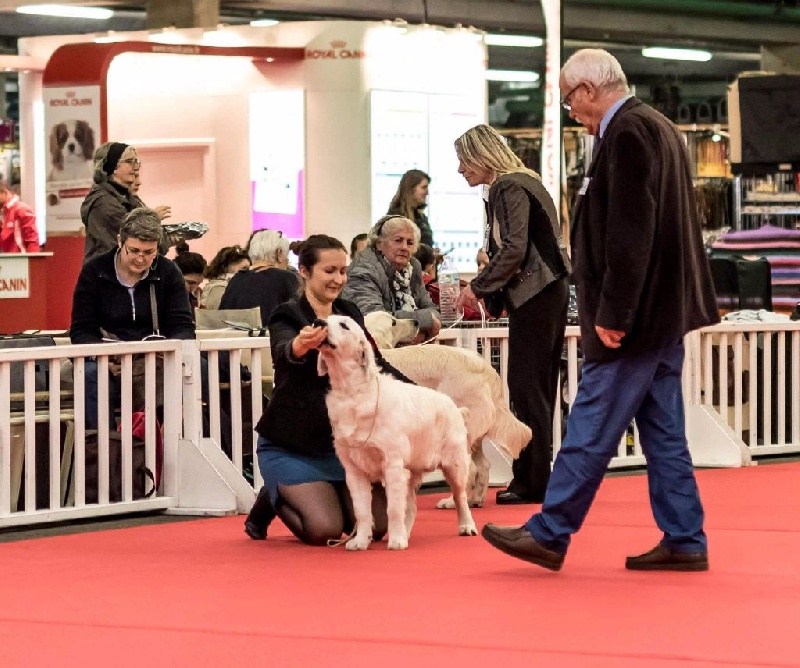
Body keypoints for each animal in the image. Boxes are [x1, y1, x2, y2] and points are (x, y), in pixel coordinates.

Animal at [318, 316, 476, 552]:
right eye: (325, 320)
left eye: (344, 325)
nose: (317, 323)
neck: (353, 392)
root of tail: (454, 407)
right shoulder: (354, 470)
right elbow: (362, 511)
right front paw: (360, 541)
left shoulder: (392, 464)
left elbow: (392, 509)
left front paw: (396, 540)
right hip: (410, 471)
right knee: (411, 507)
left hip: (454, 464)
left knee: (460, 496)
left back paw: (466, 526)